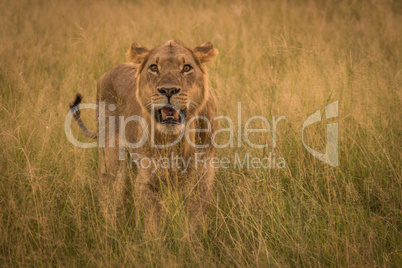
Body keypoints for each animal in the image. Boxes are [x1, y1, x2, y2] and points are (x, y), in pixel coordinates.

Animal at [70, 39, 218, 228]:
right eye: (154, 67)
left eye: (186, 68)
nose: (168, 90)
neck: (177, 141)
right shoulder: (147, 181)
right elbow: (154, 227)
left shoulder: (202, 180)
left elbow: (193, 225)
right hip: (112, 157)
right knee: (109, 188)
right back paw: (110, 227)